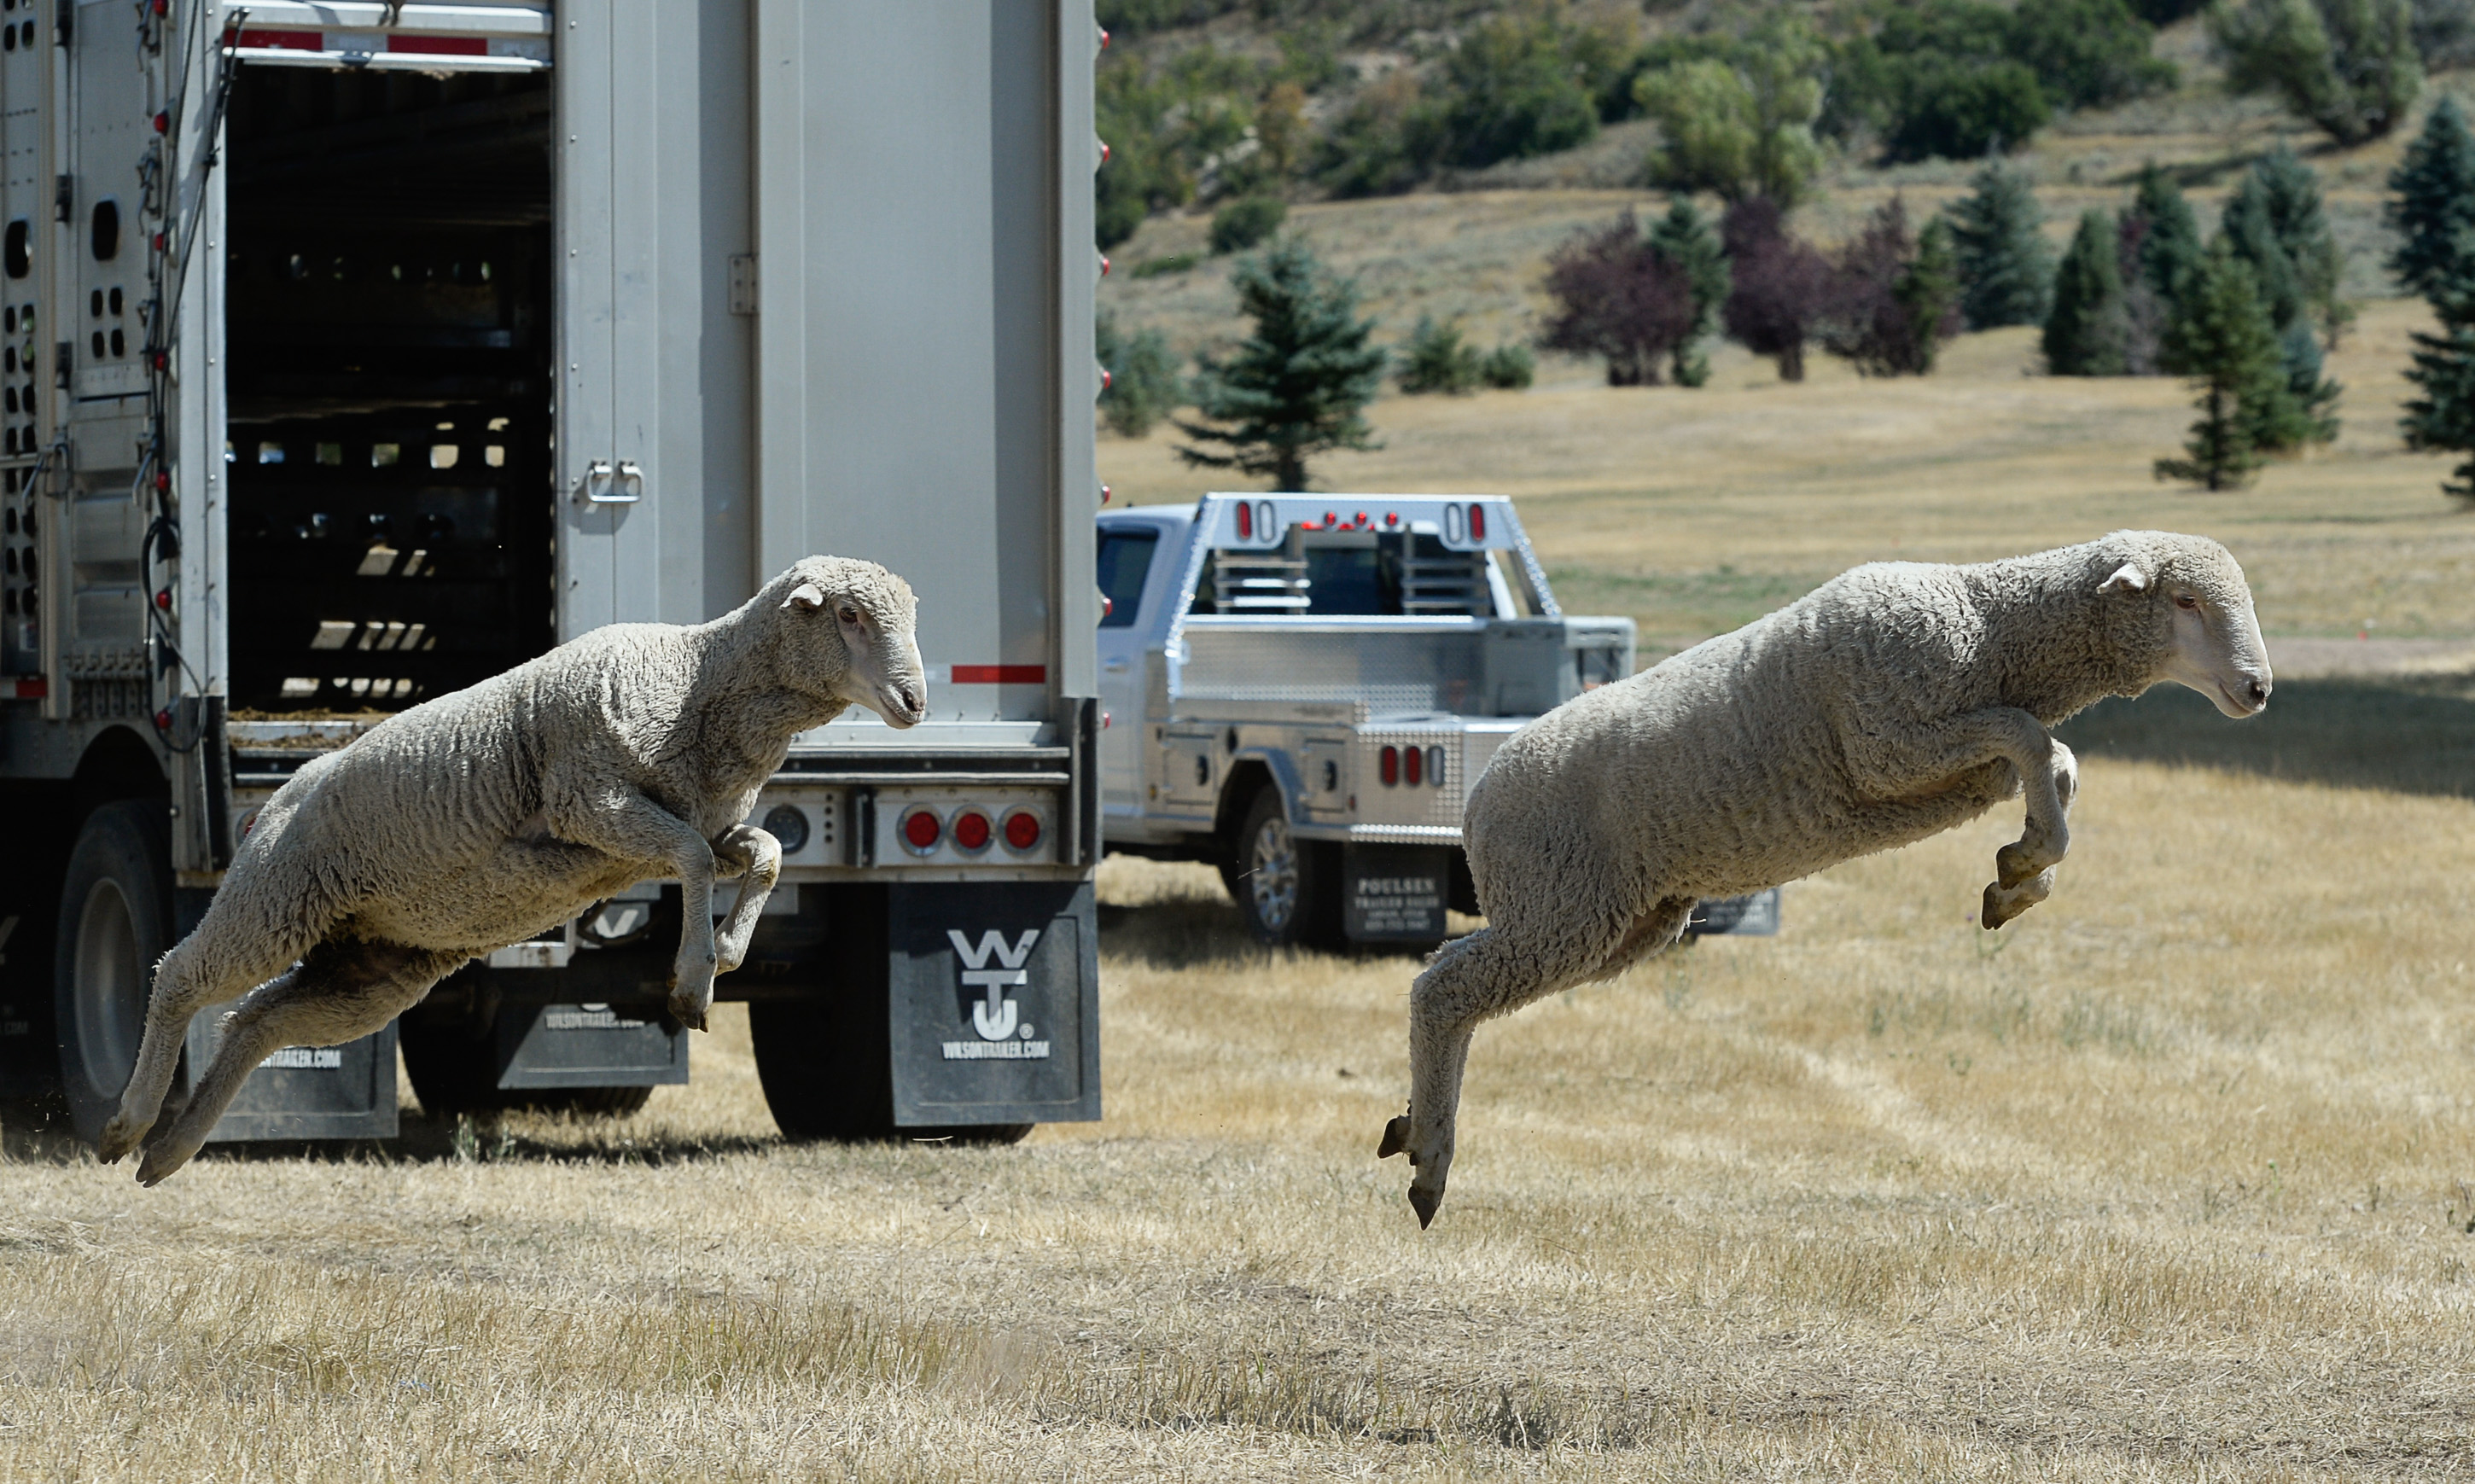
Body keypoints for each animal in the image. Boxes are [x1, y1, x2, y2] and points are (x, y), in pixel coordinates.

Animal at [97, 555, 927, 1185]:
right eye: (849, 615)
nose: (916, 700)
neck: (701, 680)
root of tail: (287, 788)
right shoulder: (591, 800)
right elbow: (694, 859)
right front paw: (693, 979)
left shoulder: (692, 824)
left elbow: (766, 855)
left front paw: (725, 950)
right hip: (274, 896)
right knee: (179, 976)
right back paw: (129, 1123)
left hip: (372, 965)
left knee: (255, 1023)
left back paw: (169, 1151)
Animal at [1377, 530, 2272, 1227]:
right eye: (2185, 599)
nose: (2260, 688)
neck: (1990, 625)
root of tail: (1476, 799)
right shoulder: (1893, 744)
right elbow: (2031, 737)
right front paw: (2022, 865)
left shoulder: (1959, 759)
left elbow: (2057, 762)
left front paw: (2021, 876)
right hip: (1558, 900)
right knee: (1440, 989)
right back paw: (1431, 1153)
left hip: (1617, 920)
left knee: (1461, 989)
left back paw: (1419, 1132)